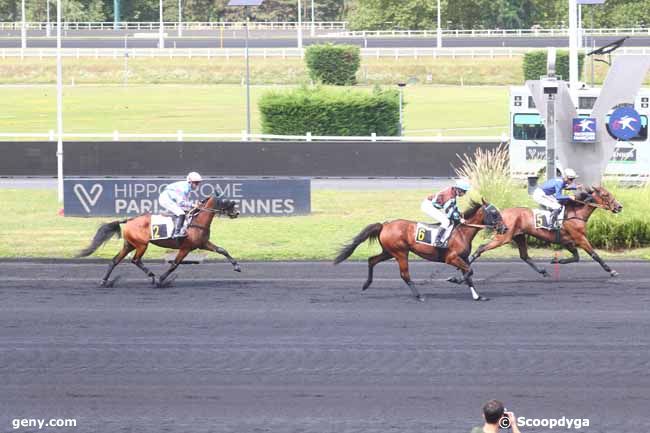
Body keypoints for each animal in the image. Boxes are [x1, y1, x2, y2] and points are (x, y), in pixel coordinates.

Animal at [76, 195, 238, 286]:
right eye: (227, 202)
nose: (236, 213)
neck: (196, 221)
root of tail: (129, 220)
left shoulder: (202, 244)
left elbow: (222, 250)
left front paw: (237, 266)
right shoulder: (185, 248)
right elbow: (174, 265)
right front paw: (162, 280)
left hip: (129, 245)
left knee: (115, 261)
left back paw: (104, 281)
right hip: (141, 244)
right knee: (135, 260)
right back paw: (153, 277)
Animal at [334, 199, 506, 300]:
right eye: (494, 213)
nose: (505, 228)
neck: (462, 232)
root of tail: (385, 225)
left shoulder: (463, 258)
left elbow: (469, 274)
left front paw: (478, 296)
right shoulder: (451, 258)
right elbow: (469, 272)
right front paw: (453, 279)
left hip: (388, 252)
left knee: (372, 260)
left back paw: (366, 284)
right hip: (400, 252)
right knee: (404, 274)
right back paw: (418, 296)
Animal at [456, 184, 624, 278]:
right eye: (606, 195)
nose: (619, 206)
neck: (576, 213)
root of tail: (501, 214)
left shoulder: (568, 241)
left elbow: (576, 257)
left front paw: (557, 260)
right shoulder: (580, 238)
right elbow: (594, 255)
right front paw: (611, 271)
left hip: (519, 236)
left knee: (525, 256)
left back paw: (543, 271)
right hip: (503, 237)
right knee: (481, 248)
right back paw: (464, 266)